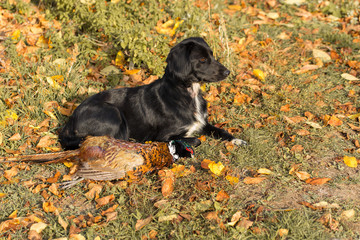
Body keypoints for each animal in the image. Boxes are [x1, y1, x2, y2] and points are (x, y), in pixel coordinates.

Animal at [59, 37, 246, 149]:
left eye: (212, 56)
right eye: (202, 59)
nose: (228, 72)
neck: (187, 94)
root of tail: (71, 119)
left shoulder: (202, 123)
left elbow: (221, 131)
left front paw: (237, 140)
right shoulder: (162, 136)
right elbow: (195, 139)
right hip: (113, 113)